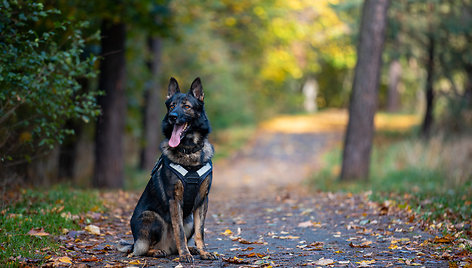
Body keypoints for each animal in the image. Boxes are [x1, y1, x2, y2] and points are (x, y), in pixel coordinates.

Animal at [120, 77, 219, 262]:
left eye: (186, 106)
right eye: (172, 106)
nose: (172, 117)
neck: (188, 150)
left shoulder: (203, 201)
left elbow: (200, 231)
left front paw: (203, 252)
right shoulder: (175, 200)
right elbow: (178, 230)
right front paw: (185, 255)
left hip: (189, 220)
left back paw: (190, 249)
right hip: (152, 217)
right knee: (142, 249)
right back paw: (160, 251)